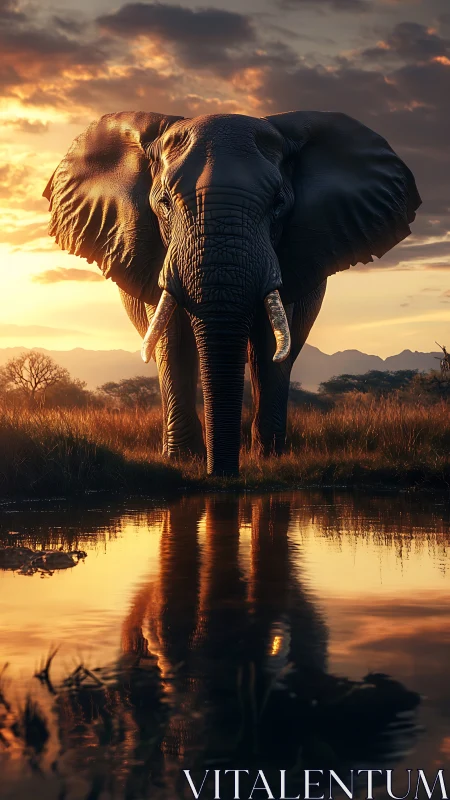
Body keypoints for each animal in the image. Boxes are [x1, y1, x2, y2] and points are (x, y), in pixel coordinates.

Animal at [43, 111, 421, 475]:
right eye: (164, 203)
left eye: (278, 204)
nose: (223, 475)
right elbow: (173, 340)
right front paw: (183, 460)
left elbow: (269, 343)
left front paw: (269, 460)